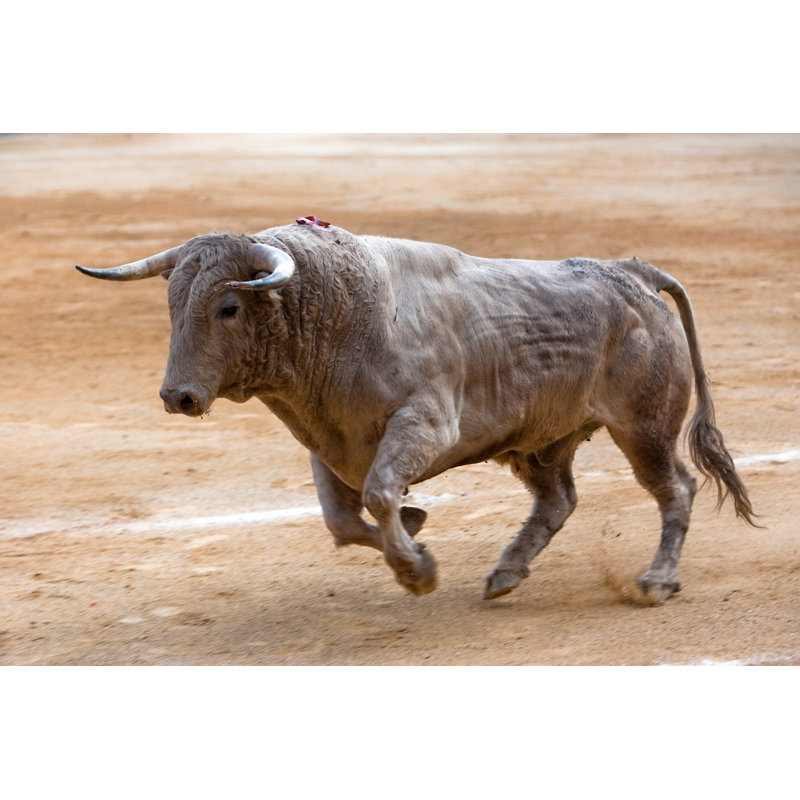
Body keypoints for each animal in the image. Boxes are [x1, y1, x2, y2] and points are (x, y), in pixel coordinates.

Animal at [76, 217, 756, 602]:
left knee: (675, 488)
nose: (179, 396)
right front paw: (417, 529)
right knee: (558, 500)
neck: (341, 317)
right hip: (541, 440)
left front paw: (416, 571)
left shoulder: (424, 425)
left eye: (228, 307)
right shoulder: (329, 442)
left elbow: (377, 495)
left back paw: (656, 582)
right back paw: (505, 575)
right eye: (172, 304)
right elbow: (342, 520)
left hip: (643, 426)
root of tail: (634, 272)